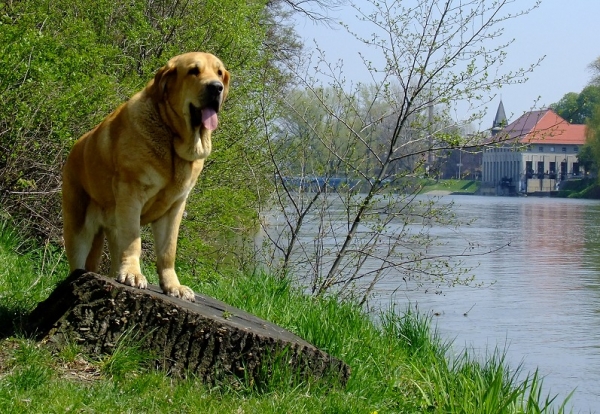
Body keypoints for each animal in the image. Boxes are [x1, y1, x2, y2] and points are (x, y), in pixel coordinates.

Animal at [61, 53, 230, 302]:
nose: (216, 87)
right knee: (78, 263)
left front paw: (173, 286)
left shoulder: (174, 208)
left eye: (219, 73)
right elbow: (134, 241)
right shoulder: (132, 193)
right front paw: (133, 274)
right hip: (78, 226)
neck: (172, 137)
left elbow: (168, 251)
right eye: (193, 71)